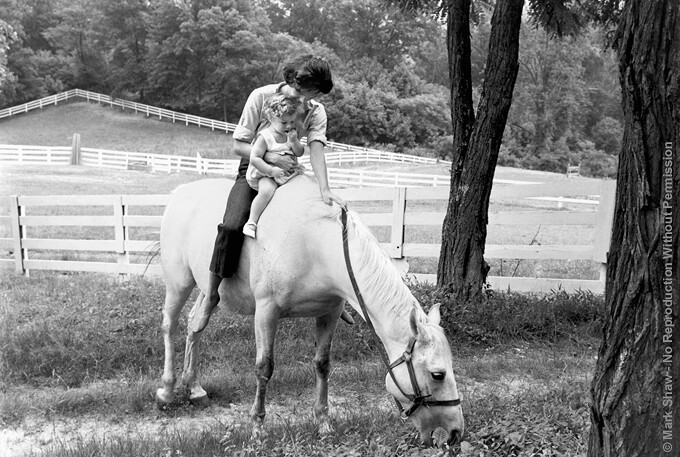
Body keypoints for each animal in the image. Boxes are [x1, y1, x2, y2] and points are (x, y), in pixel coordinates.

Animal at [155, 175, 462, 446]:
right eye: (438, 374)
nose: (455, 433)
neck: (314, 242)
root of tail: (179, 193)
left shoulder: (329, 312)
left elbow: (322, 365)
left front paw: (324, 424)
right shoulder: (266, 312)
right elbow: (264, 368)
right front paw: (257, 429)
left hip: (209, 292)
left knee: (195, 324)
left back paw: (194, 387)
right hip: (179, 283)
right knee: (170, 325)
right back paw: (167, 390)